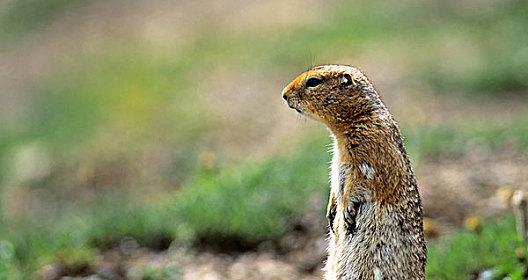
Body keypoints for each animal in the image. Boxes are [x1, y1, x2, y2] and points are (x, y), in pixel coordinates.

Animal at [282, 65, 426, 278]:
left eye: (313, 81)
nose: (284, 94)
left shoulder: (368, 151)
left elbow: (359, 182)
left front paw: (347, 211)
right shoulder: (337, 159)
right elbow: (335, 182)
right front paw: (331, 210)